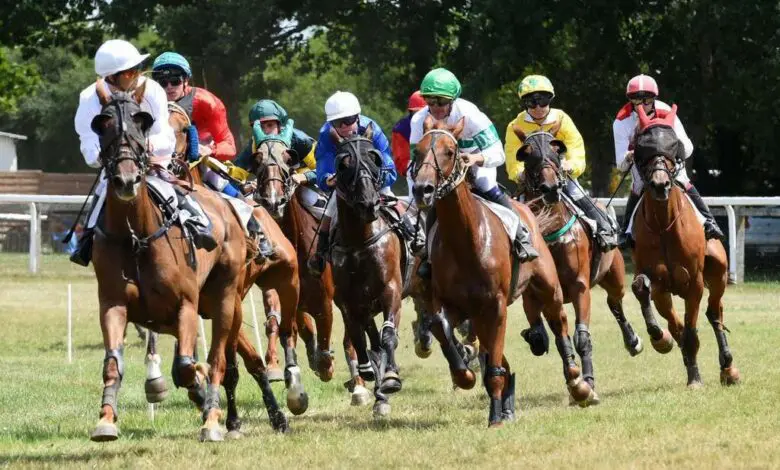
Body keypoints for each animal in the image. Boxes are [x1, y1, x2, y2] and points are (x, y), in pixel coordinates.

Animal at [250, 138, 372, 406]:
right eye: (258, 162)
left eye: (288, 161)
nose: (273, 201)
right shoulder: (291, 299)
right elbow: (297, 330)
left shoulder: (324, 301)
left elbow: (326, 345)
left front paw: (325, 365)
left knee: (351, 337)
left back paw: (358, 384)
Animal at [408, 116, 592, 426]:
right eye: (417, 151)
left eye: (450, 151)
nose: (423, 188)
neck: (466, 241)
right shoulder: (452, 304)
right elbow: (440, 327)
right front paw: (465, 373)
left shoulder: (495, 305)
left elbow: (494, 362)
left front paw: (494, 416)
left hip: (549, 288)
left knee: (560, 326)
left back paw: (578, 383)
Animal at [516, 130, 644, 402]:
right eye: (527, 155)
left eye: (557, 151)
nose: (550, 188)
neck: (552, 232)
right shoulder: (537, 294)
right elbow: (547, 336)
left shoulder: (579, 286)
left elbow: (581, 337)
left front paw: (588, 382)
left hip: (614, 275)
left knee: (615, 303)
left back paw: (633, 340)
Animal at [632, 106, 740, 390]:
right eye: (643, 147)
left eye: (672, 144)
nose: (660, 185)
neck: (664, 225)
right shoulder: (660, 285)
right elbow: (672, 321)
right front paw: (663, 340)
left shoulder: (694, 282)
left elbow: (691, 330)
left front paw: (695, 379)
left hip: (718, 271)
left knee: (715, 313)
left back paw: (728, 368)